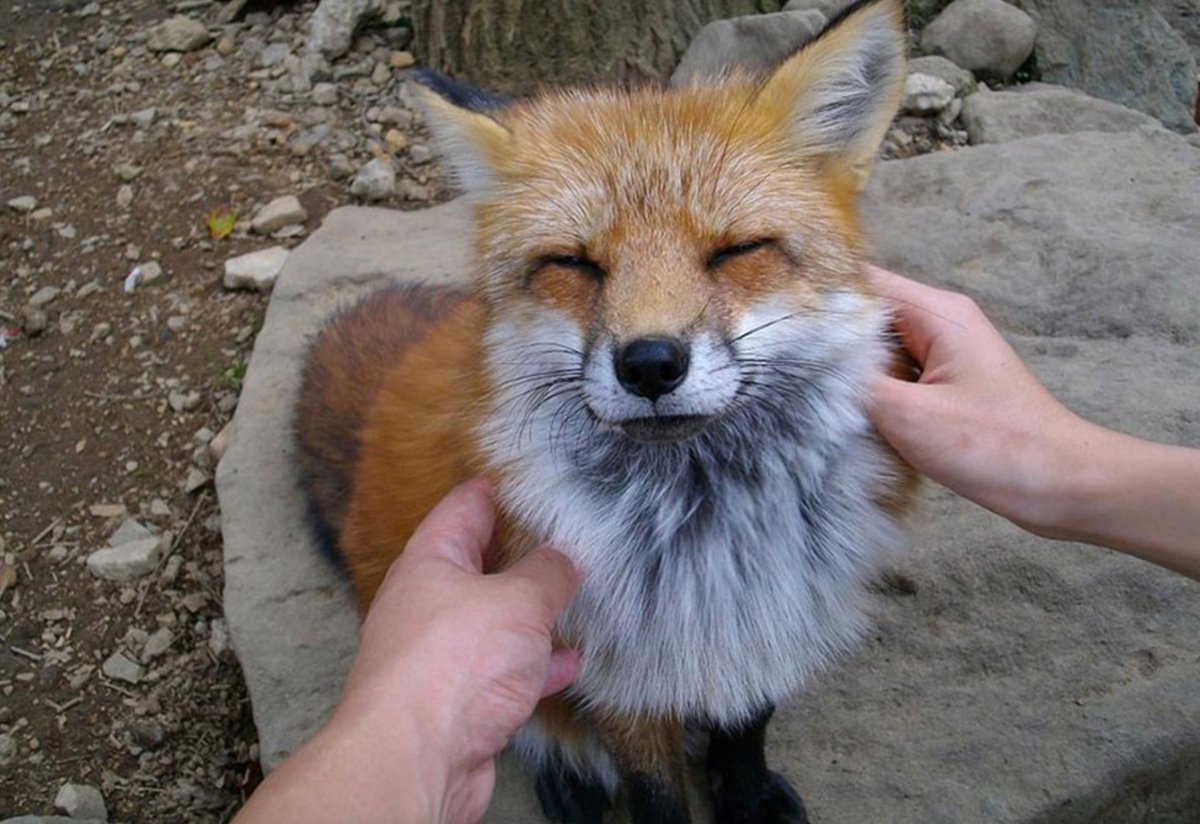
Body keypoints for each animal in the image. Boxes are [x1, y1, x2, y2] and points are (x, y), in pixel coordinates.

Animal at [296, 0, 916, 821]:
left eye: (736, 251)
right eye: (574, 264)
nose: (650, 363)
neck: (703, 533)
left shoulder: (777, 609)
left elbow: (748, 723)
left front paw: (748, 796)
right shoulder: (611, 671)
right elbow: (653, 793)